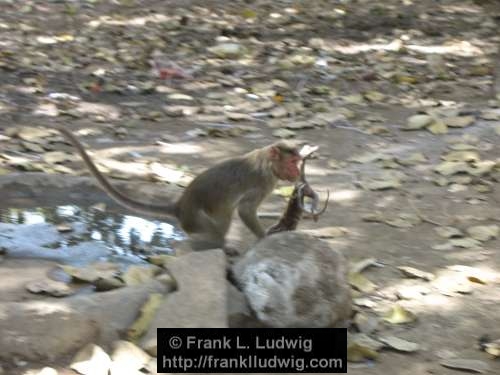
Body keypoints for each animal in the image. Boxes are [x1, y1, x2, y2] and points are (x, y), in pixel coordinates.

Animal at [48, 127, 302, 253]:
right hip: (195, 220)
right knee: (216, 230)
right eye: (292, 162)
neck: (267, 163)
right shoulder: (263, 182)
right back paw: (213, 246)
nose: (298, 172)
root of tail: (180, 206)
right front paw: (264, 237)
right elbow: (246, 210)